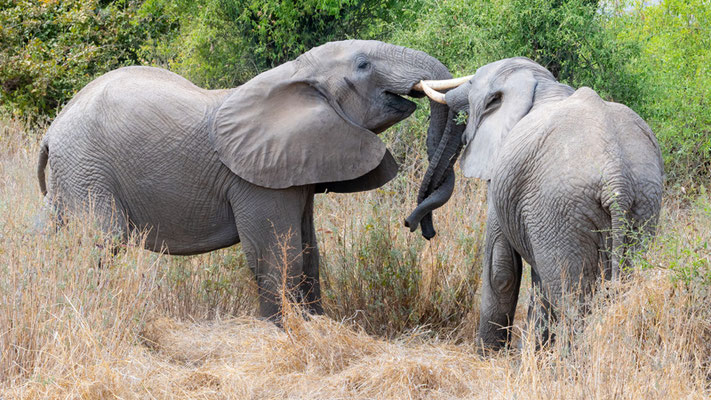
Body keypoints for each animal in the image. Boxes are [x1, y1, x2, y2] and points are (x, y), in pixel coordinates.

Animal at [36, 40, 458, 322]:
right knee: (101, 243)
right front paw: (284, 331)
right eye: (364, 65)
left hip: (70, 176)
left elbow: (309, 250)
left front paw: (315, 324)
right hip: (87, 169)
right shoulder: (258, 180)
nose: (417, 226)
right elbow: (276, 255)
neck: (294, 74)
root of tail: (52, 130)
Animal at [408, 57, 664, 350]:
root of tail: (616, 175)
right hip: (642, 203)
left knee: (572, 300)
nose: (419, 229)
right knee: (623, 283)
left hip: (562, 208)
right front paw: (533, 349)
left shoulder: (504, 179)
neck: (538, 82)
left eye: (471, 88)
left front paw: (488, 353)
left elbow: (500, 268)